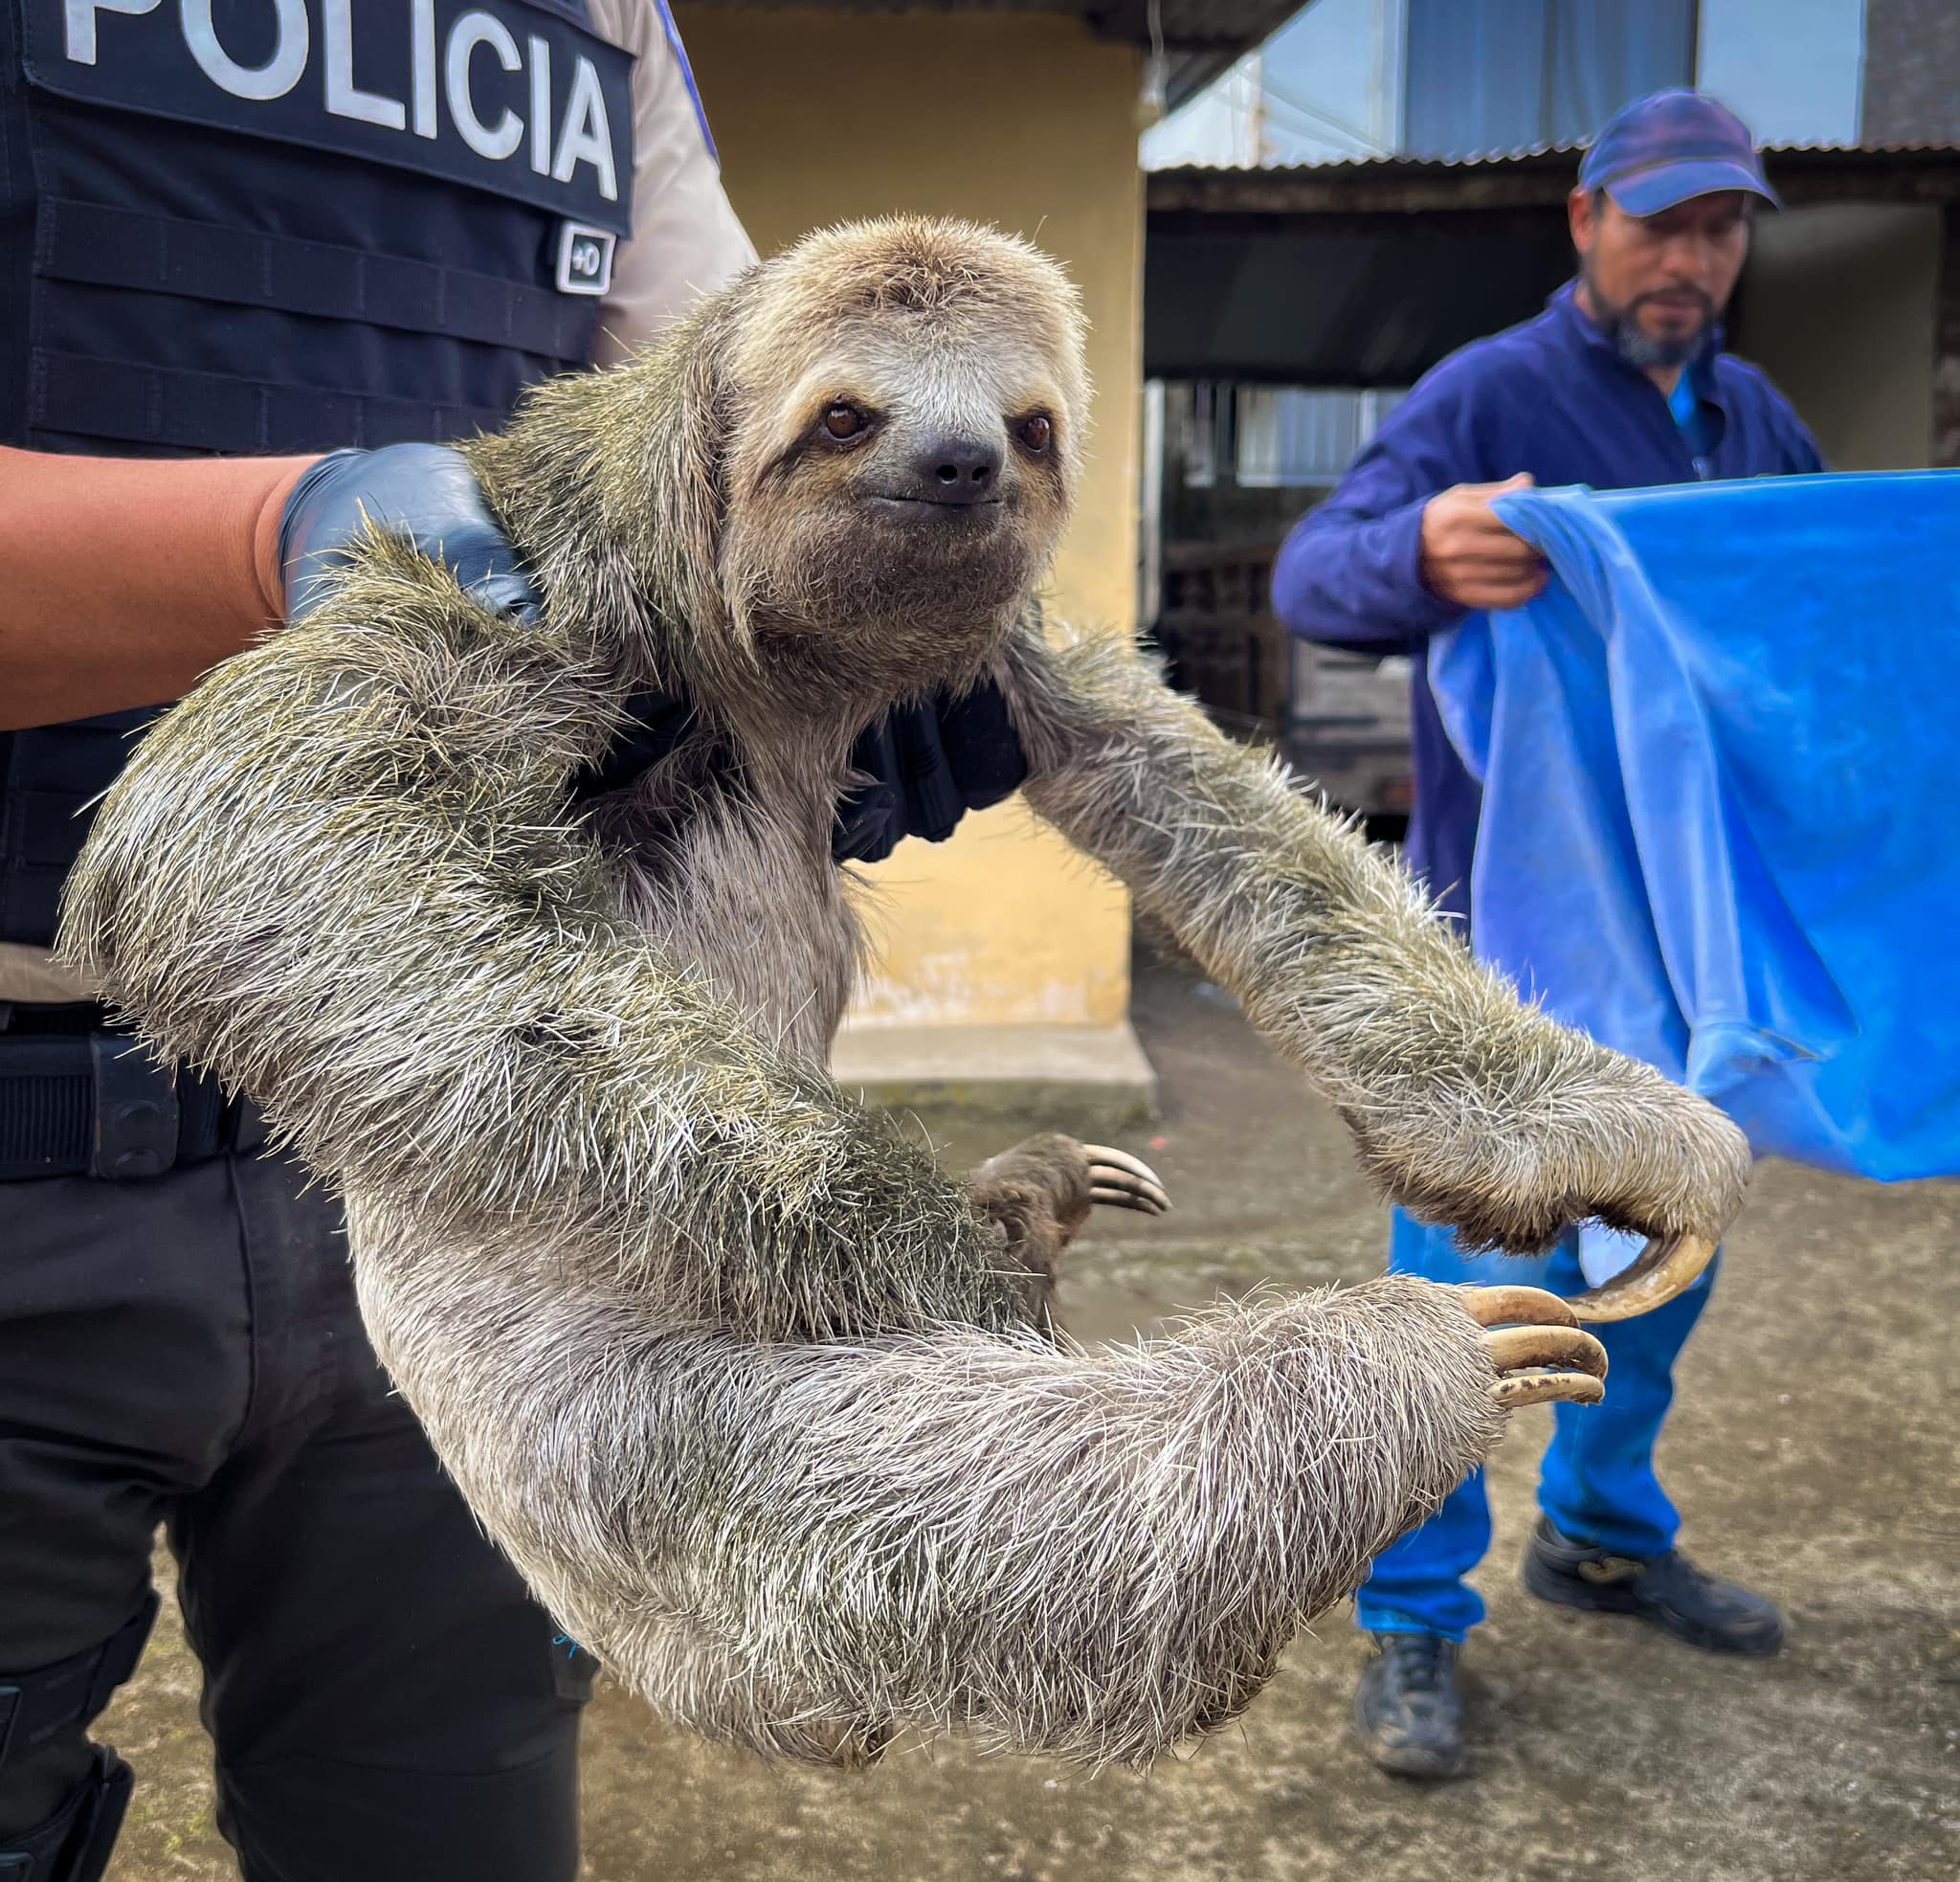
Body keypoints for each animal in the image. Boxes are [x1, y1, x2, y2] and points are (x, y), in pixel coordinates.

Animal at [59, 217, 1752, 1773]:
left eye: (1030, 425)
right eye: (847, 415)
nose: (957, 461)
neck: (790, 673)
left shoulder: (1011, 666)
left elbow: (1195, 786)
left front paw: (1583, 1131)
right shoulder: (552, 577)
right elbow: (242, 821)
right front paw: (918, 1248)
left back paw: (1043, 1202)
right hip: (572, 1445)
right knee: (960, 1516)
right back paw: (1376, 1359)